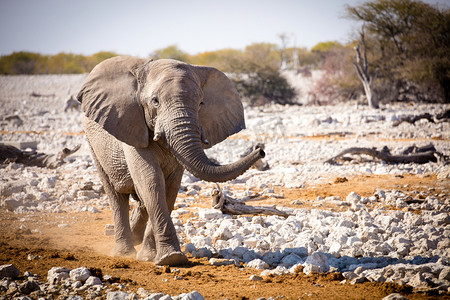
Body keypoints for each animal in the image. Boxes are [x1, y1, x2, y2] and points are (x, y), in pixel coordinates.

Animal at [77, 55, 264, 264]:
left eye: (201, 103)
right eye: (155, 101)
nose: (260, 150)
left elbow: (171, 187)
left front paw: (156, 257)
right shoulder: (132, 125)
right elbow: (151, 181)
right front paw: (170, 258)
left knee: (140, 197)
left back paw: (135, 239)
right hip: (93, 142)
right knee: (116, 194)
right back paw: (123, 253)